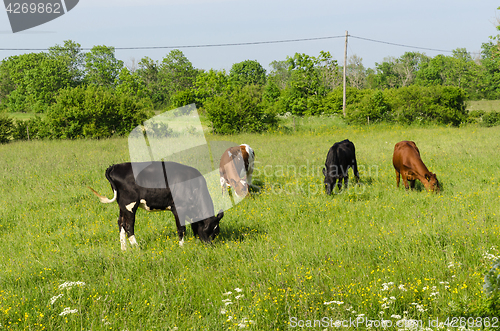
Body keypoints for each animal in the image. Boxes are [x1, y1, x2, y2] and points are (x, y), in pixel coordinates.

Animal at [89, 162, 224, 250]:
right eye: (208, 230)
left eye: (216, 232)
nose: (210, 246)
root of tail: (114, 167)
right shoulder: (178, 208)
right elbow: (181, 229)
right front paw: (182, 247)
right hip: (130, 205)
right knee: (128, 227)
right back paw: (137, 248)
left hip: (122, 206)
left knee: (121, 224)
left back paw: (124, 249)